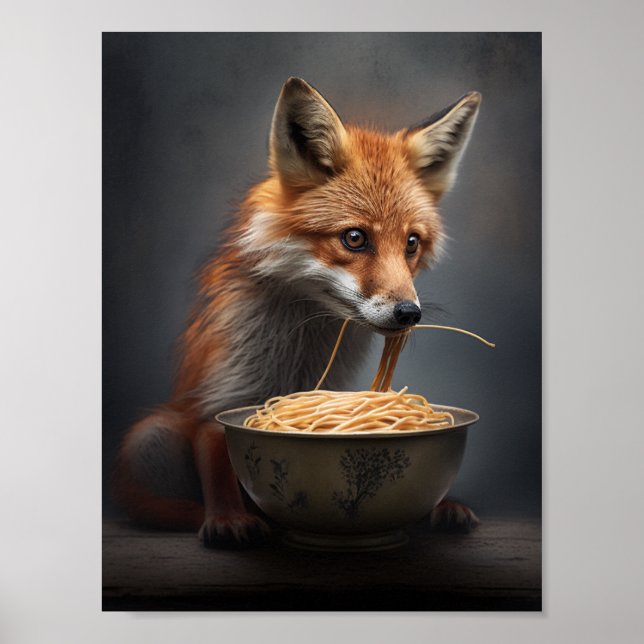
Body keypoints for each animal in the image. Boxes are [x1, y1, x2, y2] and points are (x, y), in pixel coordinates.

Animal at [112, 77, 482, 547]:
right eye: (355, 238)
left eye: (411, 243)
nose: (408, 313)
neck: (299, 354)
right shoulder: (223, 396)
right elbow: (219, 461)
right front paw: (228, 520)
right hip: (150, 437)